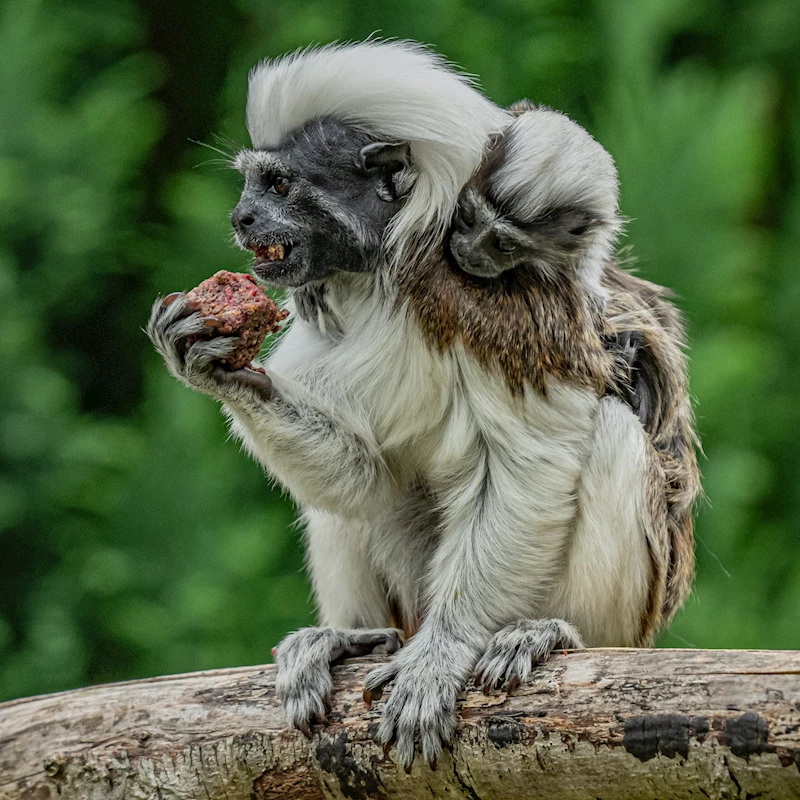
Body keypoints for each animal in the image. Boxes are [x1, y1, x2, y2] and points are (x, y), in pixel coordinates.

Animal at [147, 42, 696, 768]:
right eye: (250, 187)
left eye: (280, 186)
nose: (241, 219)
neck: (384, 279)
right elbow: (370, 476)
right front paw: (216, 365)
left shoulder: (501, 317)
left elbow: (530, 467)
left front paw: (443, 653)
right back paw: (355, 637)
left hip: (635, 617)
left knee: (609, 434)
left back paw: (551, 631)